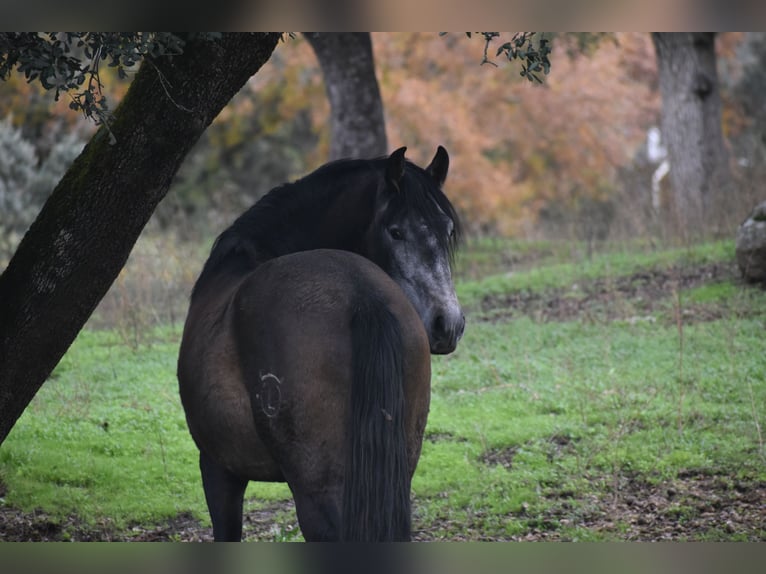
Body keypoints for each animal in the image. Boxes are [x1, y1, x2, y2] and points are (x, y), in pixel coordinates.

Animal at [177, 146, 464, 541]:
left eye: (447, 230)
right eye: (396, 231)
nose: (447, 324)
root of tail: (362, 293)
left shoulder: (218, 468)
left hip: (316, 493)